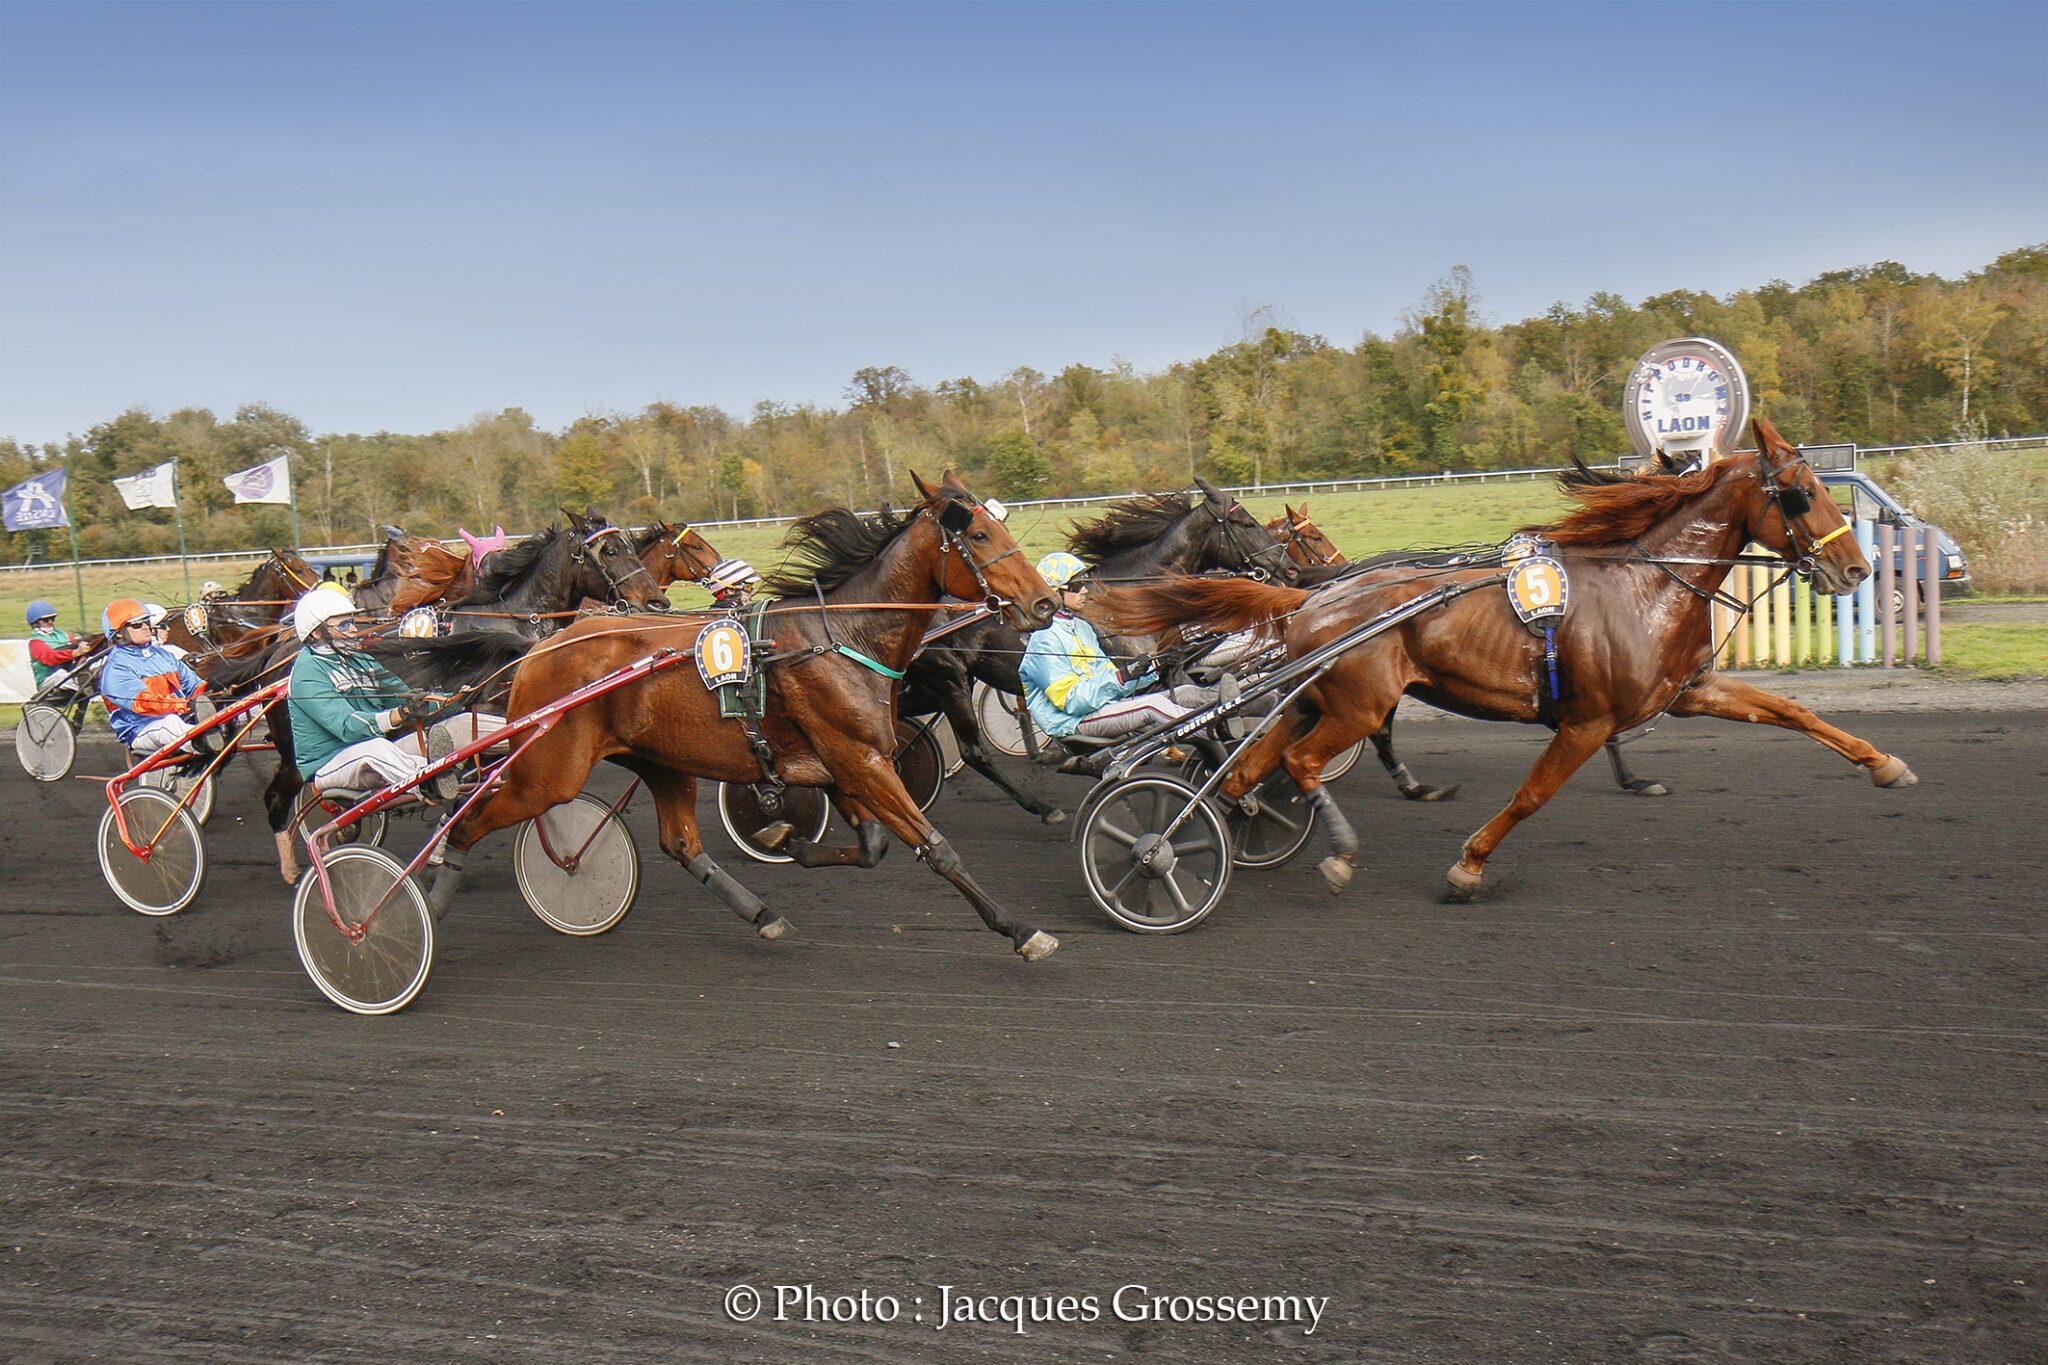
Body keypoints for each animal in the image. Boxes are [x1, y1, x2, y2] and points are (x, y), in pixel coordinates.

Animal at [434, 474, 1073, 965]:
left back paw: (762, 913)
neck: (842, 636)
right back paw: (430, 907)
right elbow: (936, 848)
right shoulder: (861, 760)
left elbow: (871, 846)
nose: (1044, 602)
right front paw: (1021, 929)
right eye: (981, 535)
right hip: (548, 772)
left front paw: (785, 837)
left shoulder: (842, 765)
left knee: (681, 844)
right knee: (467, 824)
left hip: (662, 761)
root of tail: (541, 649)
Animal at [1105, 417, 1900, 908]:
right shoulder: (1585, 720)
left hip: (1310, 696)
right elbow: (1530, 796)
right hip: (1357, 701)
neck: (1646, 582)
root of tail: (1315, 597)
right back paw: (1313, 850)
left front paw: (1884, 763)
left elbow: (1790, 710)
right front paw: (1468, 866)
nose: (1857, 568)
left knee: (1246, 772)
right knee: (1302, 762)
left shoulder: (1686, 690)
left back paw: (1221, 829)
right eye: (1799, 492)